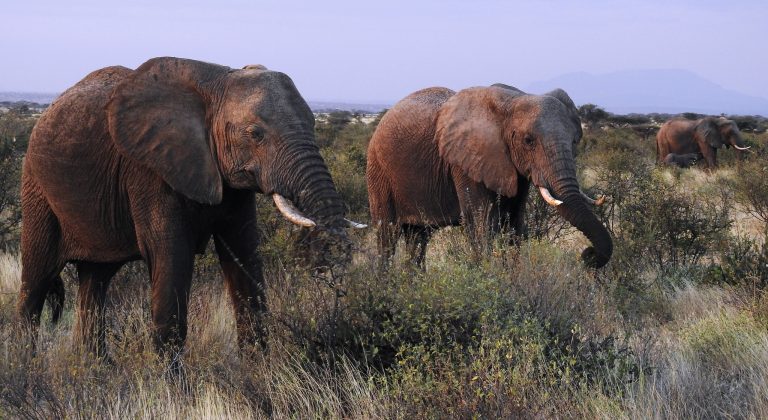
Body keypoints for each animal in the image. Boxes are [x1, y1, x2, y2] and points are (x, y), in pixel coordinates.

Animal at [17, 57, 363, 363]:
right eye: (255, 133)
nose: (331, 272)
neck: (219, 81)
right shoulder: (151, 171)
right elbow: (172, 260)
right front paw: (171, 388)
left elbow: (245, 258)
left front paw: (259, 376)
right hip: (35, 188)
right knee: (36, 282)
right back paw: (27, 370)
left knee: (95, 282)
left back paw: (95, 371)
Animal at [366, 85, 612, 269]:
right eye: (528, 141)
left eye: (574, 141)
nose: (587, 255)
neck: (510, 102)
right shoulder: (464, 162)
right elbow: (481, 226)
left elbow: (513, 226)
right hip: (378, 170)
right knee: (387, 234)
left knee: (418, 237)